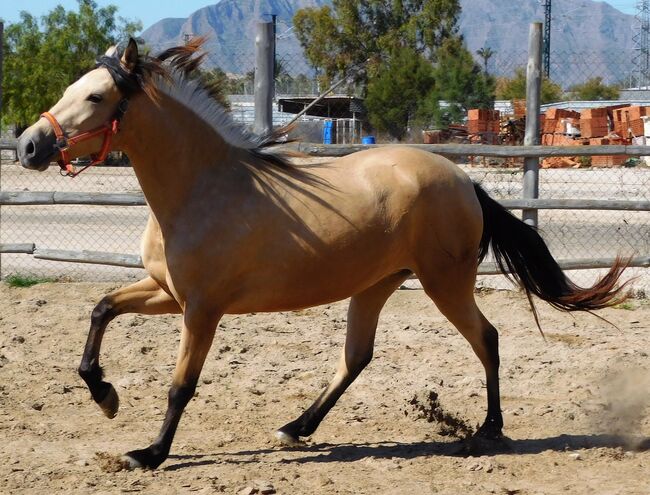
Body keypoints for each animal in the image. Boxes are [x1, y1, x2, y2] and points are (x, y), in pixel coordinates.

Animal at [15, 38, 624, 468]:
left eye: (96, 97)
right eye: (73, 87)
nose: (28, 145)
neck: (201, 188)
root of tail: (463, 181)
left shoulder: (202, 310)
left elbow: (180, 385)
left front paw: (148, 454)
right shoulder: (167, 292)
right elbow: (101, 309)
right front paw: (106, 396)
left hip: (443, 283)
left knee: (487, 338)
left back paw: (488, 432)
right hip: (377, 285)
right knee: (356, 357)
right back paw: (295, 428)